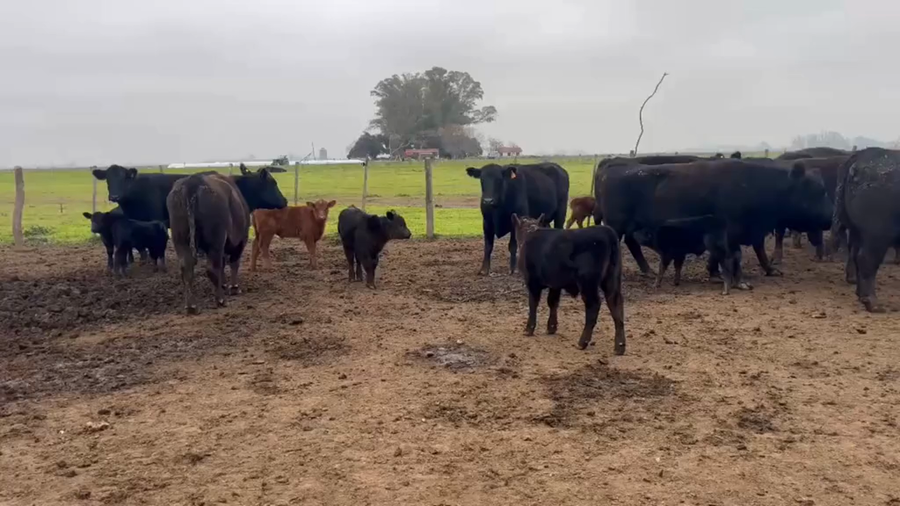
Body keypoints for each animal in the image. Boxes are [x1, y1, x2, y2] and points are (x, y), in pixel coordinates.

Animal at [167, 168, 288, 314]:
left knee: (187, 269)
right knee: (212, 268)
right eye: (273, 183)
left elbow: (223, 264)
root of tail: (193, 182)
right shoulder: (240, 239)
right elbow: (234, 262)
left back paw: (191, 306)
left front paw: (224, 283)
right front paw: (234, 287)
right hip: (215, 240)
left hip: (180, 239)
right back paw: (220, 299)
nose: (285, 200)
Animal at [511, 214, 625, 354]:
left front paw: (529, 329)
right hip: (612, 279)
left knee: (594, 305)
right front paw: (552, 327)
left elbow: (533, 304)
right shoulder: (555, 284)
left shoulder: (532, 282)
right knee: (616, 304)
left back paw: (582, 342)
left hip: (587, 282)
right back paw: (620, 346)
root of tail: (607, 231)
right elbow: (553, 302)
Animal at [597, 159, 833, 288]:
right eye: (819, 191)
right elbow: (731, 253)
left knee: (632, 243)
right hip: (617, 225)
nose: (830, 218)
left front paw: (770, 269)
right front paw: (720, 274)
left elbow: (758, 250)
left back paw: (648, 270)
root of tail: (614, 166)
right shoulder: (731, 230)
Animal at [831, 148, 900, 312]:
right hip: (877, 235)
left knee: (855, 255)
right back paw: (872, 303)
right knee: (866, 260)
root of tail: (861, 154)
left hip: (857, 231)